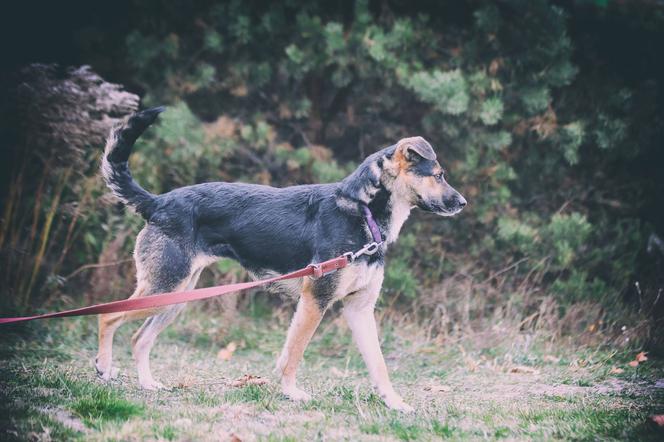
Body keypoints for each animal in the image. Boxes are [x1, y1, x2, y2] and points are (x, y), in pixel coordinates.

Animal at [96, 106, 466, 410]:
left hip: (175, 297)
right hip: (164, 288)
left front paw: (394, 403)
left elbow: (379, 365)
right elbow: (295, 353)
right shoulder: (315, 300)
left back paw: (148, 384)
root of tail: (158, 203)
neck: (363, 211)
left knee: (139, 338)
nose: (462, 203)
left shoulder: (359, 309)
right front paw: (291, 392)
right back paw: (104, 367)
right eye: (439, 175)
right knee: (107, 316)